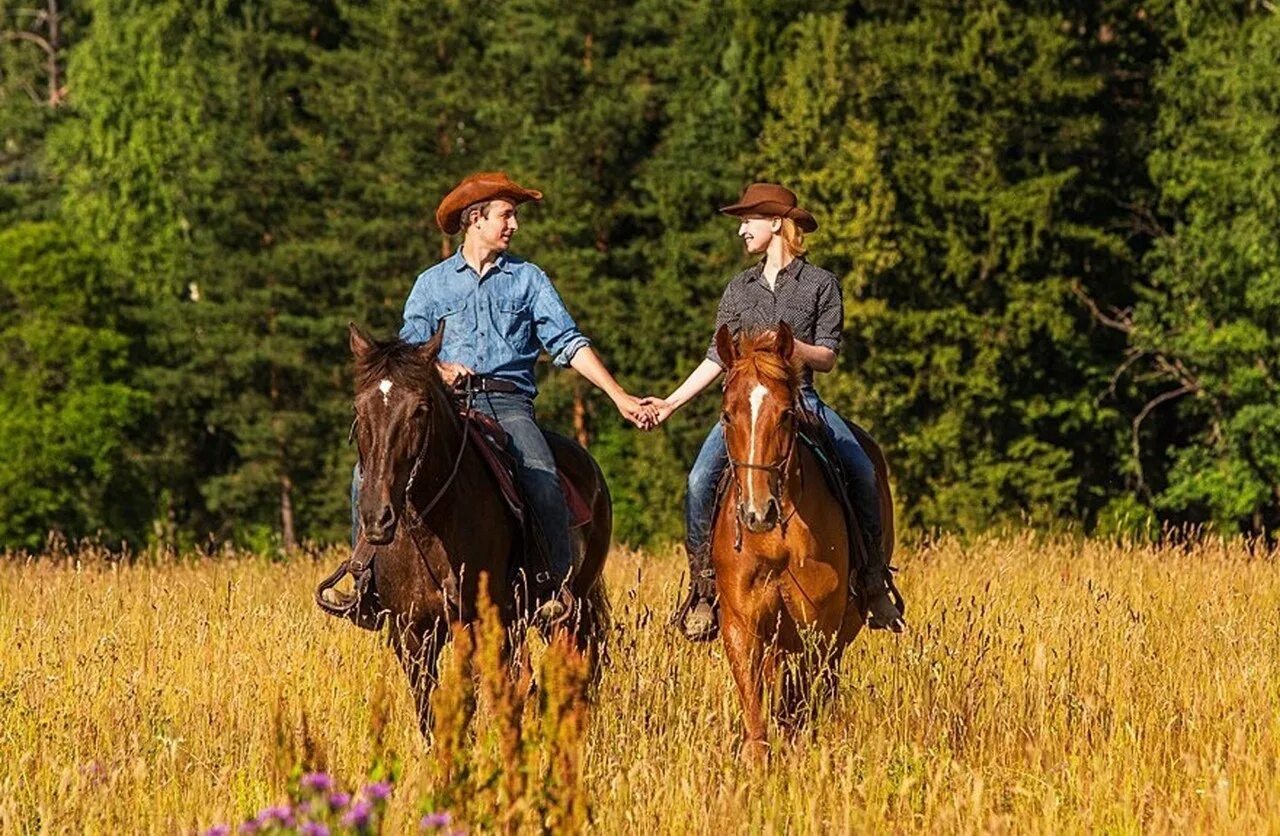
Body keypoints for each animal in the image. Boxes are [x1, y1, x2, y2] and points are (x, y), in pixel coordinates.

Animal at [345, 322, 614, 732]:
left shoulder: (473, 628)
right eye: (359, 409)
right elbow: (430, 711)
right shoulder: (411, 633)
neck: (428, 528)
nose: (378, 517)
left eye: (420, 410)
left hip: (570, 612)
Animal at [716, 321, 896, 763]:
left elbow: (798, 707)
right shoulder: (741, 625)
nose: (757, 512)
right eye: (727, 415)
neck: (775, 539)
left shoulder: (818, 628)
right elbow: (757, 711)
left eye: (786, 414)